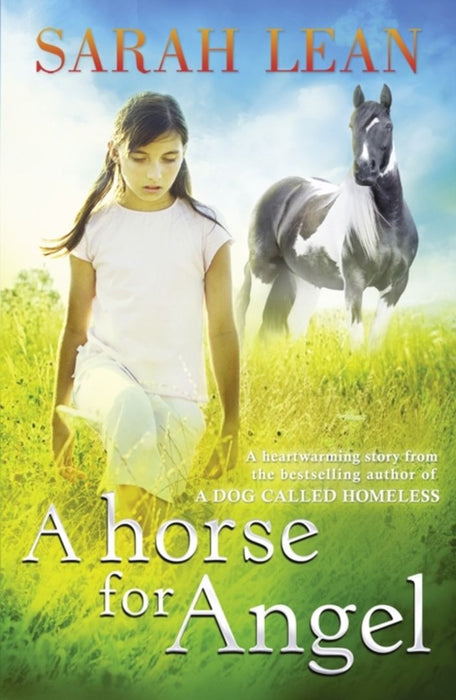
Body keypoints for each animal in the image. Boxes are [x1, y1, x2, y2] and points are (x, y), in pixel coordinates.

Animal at [237, 84, 418, 348]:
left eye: (388, 126)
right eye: (352, 125)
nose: (365, 171)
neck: (387, 222)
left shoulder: (395, 287)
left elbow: (375, 342)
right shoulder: (354, 284)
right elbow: (357, 340)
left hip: (307, 279)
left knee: (296, 323)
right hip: (264, 269)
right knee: (251, 318)